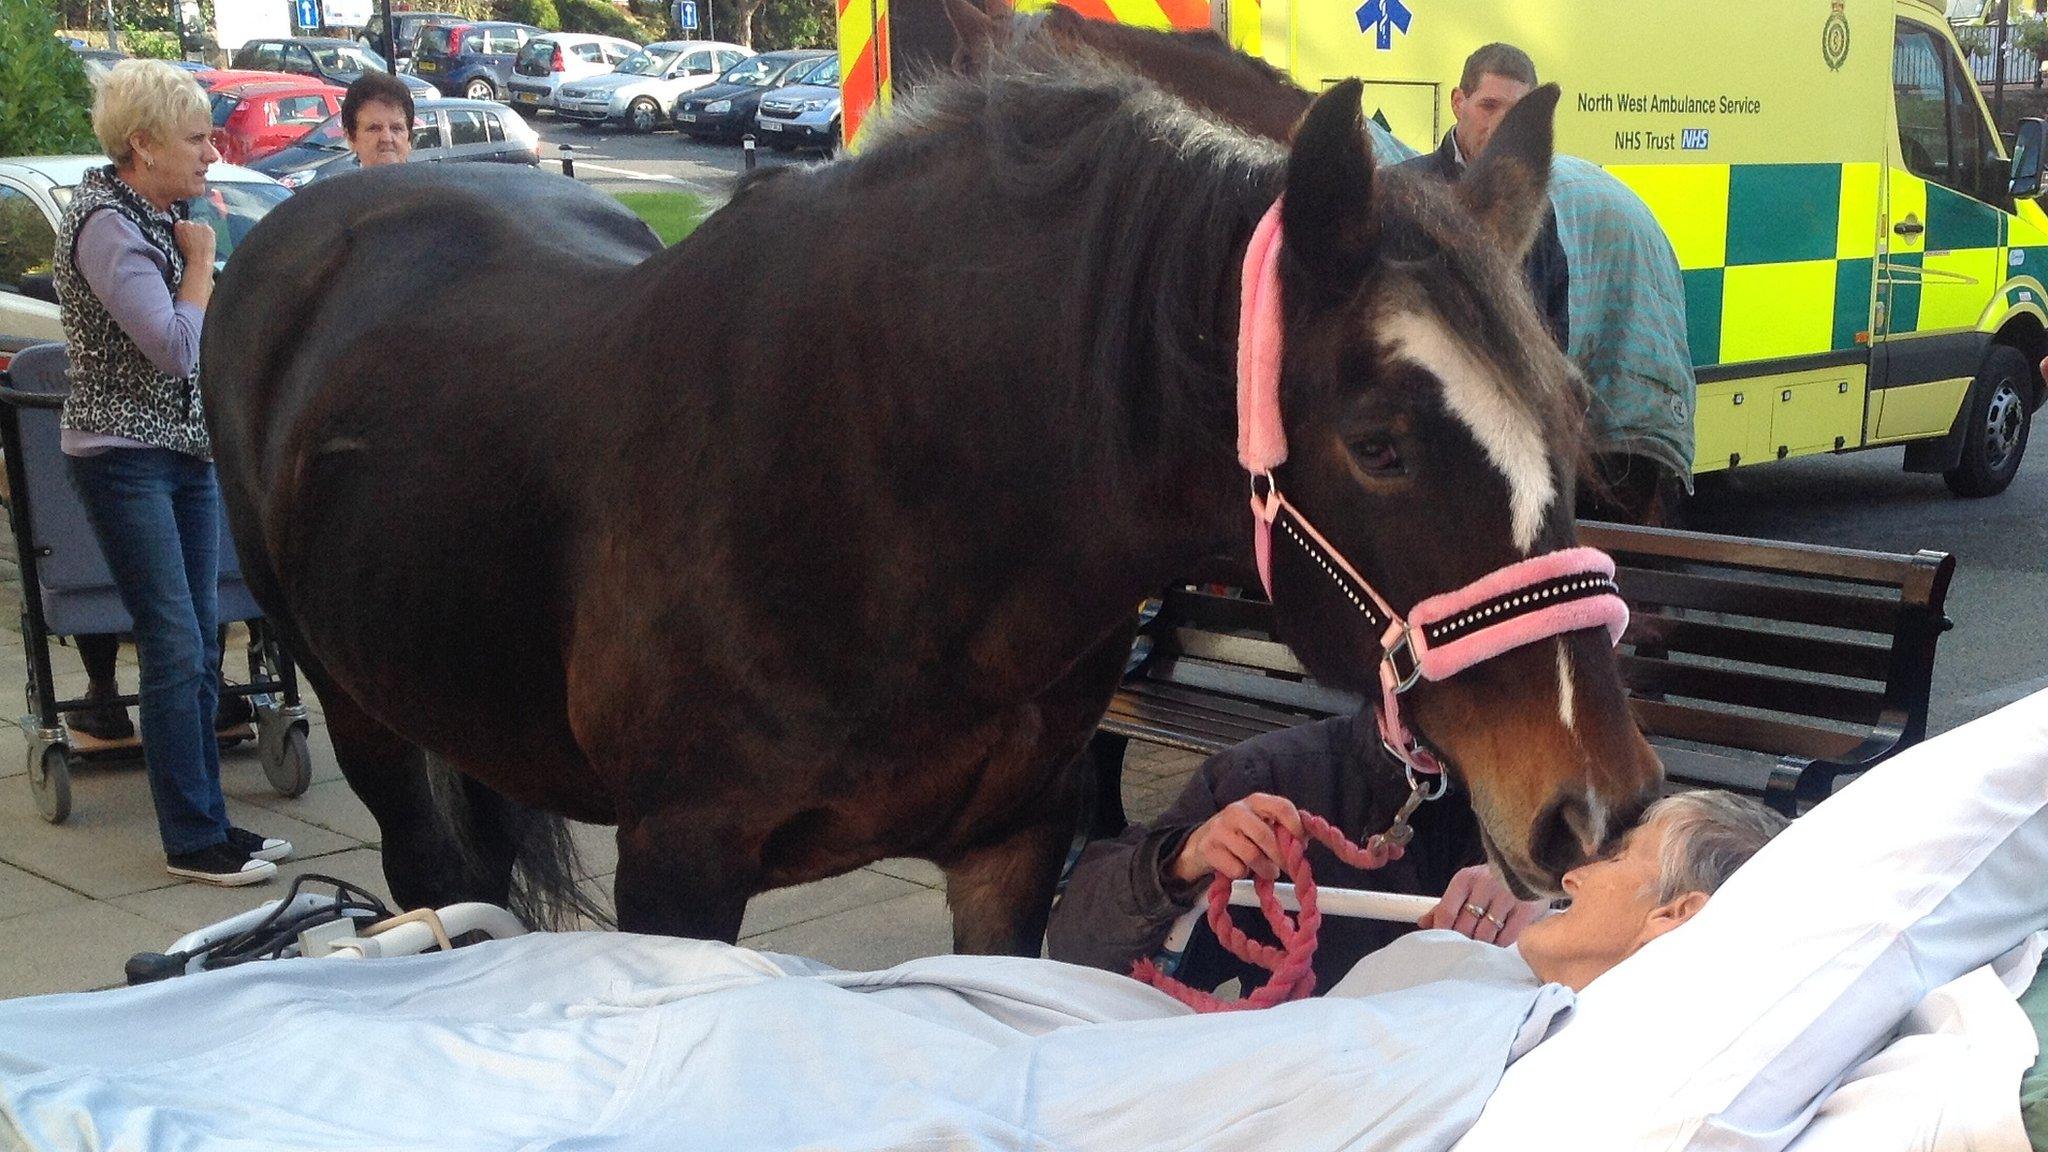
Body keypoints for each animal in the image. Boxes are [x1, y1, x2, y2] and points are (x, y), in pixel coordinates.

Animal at [199, 49, 1654, 947]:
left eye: (1569, 420)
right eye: (1379, 443)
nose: (1599, 811)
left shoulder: (1013, 847)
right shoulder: (678, 866)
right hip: (366, 712)